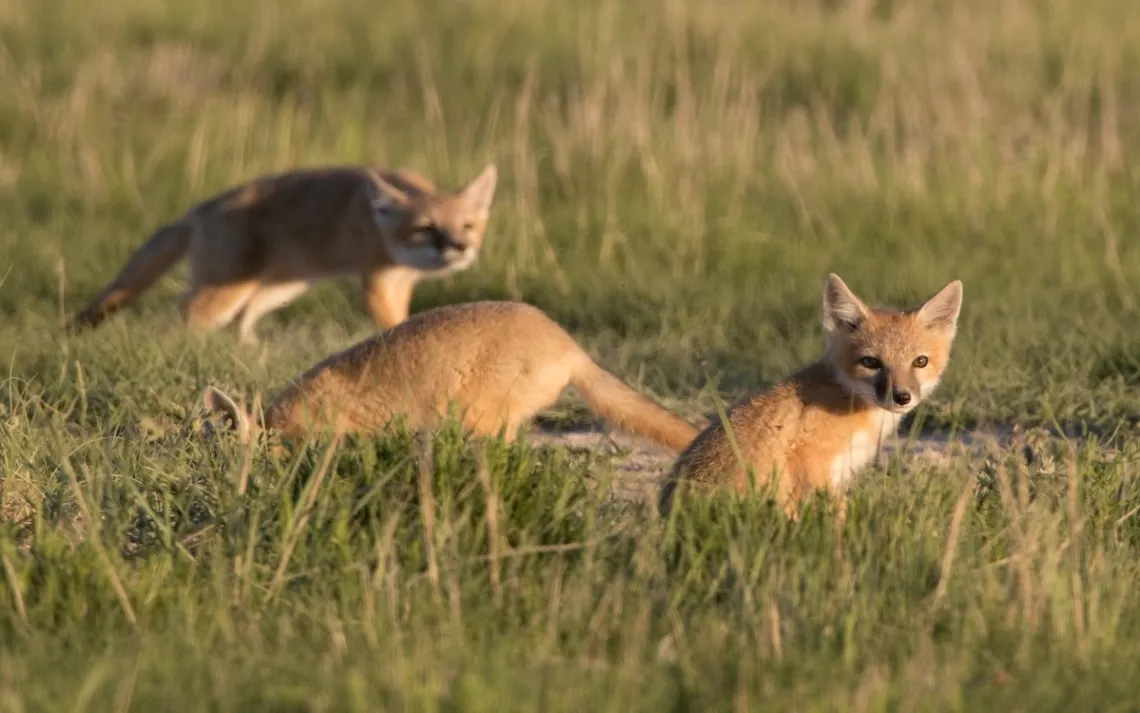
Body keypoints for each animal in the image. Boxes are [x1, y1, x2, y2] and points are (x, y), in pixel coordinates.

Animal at [71, 164, 499, 342]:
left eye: (467, 227)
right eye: (426, 229)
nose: (460, 247)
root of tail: (200, 209)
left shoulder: (400, 281)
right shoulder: (377, 281)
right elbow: (393, 323)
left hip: (280, 289)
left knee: (241, 322)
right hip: (226, 292)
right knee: (178, 319)